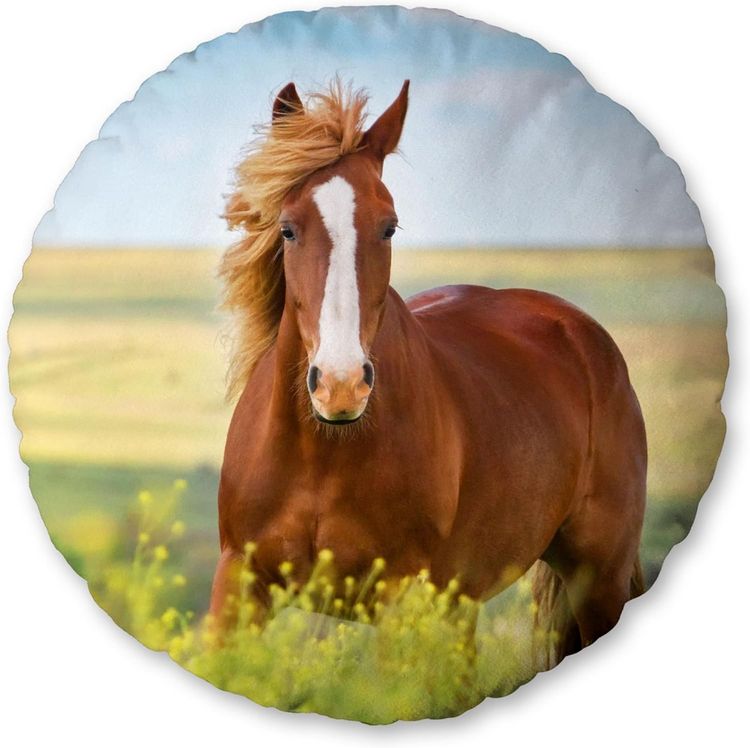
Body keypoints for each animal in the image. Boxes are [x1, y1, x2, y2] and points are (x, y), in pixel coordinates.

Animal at [210, 79, 647, 666]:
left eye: (389, 227)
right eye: (287, 229)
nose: (341, 386)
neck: (322, 454)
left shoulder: (400, 599)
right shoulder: (237, 583)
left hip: (598, 580)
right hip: (463, 603)